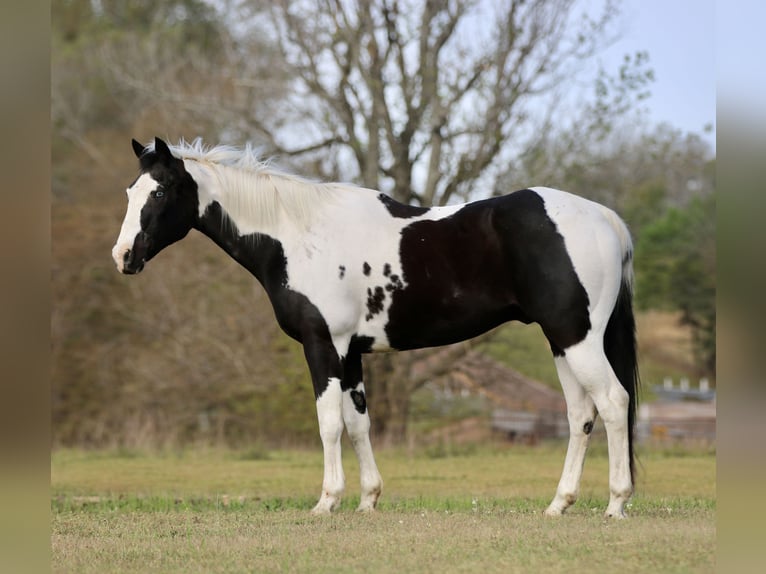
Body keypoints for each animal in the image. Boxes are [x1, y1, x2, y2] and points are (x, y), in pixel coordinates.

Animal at [112, 137, 639, 518]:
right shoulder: (351, 352)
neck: (297, 236)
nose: (123, 257)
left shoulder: (322, 345)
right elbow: (357, 422)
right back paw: (558, 505)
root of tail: (605, 218)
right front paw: (368, 499)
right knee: (580, 415)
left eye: (159, 191)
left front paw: (326, 501)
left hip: (577, 340)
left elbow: (328, 424)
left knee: (613, 403)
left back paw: (615, 504)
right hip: (563, 342)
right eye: (129, 192)